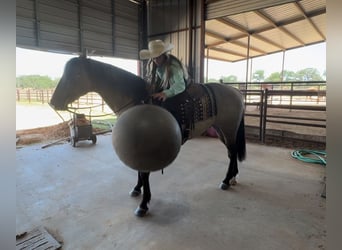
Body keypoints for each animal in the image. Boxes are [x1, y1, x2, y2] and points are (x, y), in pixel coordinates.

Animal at [49, 56, 246, 217]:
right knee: (232, 152)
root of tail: (236, 92)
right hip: (221, 130)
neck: (137, 101)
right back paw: (232, 178)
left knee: (232, 152)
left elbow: (144, 173)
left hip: (228, 129)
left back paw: (226, 181)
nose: (53, 102)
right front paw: (137, 190)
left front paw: (143, 205)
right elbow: (139, 171)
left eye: (76, 75)